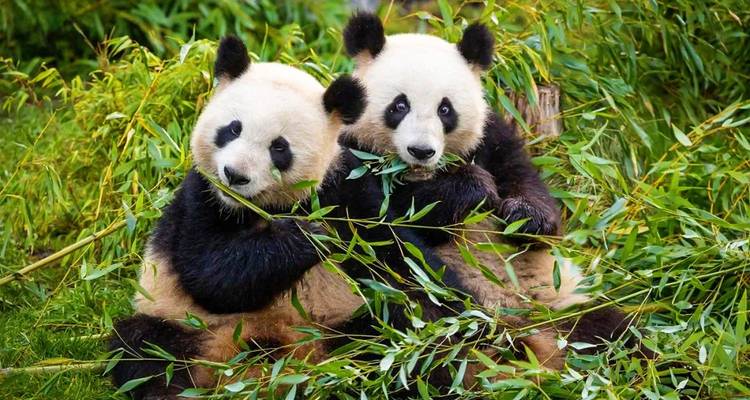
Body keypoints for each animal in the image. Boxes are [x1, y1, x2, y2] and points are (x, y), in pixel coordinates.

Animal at [339, 12, 639, 357]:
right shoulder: (352, 155)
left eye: (445, 109)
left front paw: (524, 216)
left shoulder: (493, 138)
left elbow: (532, 195)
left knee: (617, 332)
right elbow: (391, 218)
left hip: (563, 305)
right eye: (399, 106)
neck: (421, 173)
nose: (421, 151)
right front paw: (472, 188)